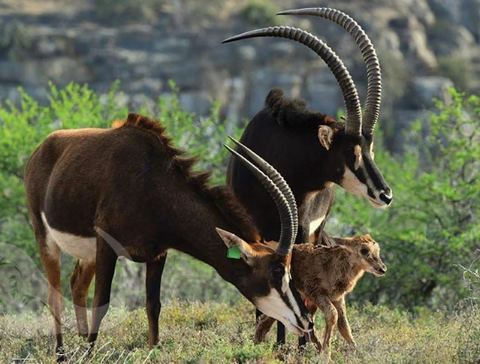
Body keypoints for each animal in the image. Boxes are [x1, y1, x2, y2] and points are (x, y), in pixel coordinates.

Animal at [24, 113, 314, 358]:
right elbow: (102, 302)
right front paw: (89, 355)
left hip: (88, 254)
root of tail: (42, 148)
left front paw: (153, 350)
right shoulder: (107, 245)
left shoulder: (158, 253)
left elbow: (154, 305)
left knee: (77, 285)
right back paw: (62, 353)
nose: (306, 322)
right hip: (45, 236)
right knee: (55, 295)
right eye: (276, 271)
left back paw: (79, 340)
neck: (153, 185)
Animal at [223, 7, 392, 344]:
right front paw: (270, 345)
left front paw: (296, 344)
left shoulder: (300, 234)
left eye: (370, 148)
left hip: (316, 233)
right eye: (350, 150)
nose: (385, 194)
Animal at [255, 233, 386, 358]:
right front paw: (326, 354)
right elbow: (332, 315)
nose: (382, 269)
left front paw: (357, 353)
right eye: (364, 250)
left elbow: (344, 325)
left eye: (377, 250)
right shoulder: (316, 293)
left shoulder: (338, 298)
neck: (334, 266)